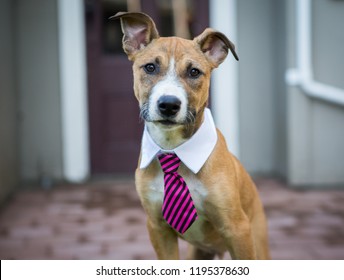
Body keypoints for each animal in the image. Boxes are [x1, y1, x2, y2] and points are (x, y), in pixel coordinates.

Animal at [111, 11, 270, 260]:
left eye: (194, 72)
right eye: (150, 67)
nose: (168, 104)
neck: (172, 147)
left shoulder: (237, 228)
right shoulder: (157, 227)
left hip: (257, 242)